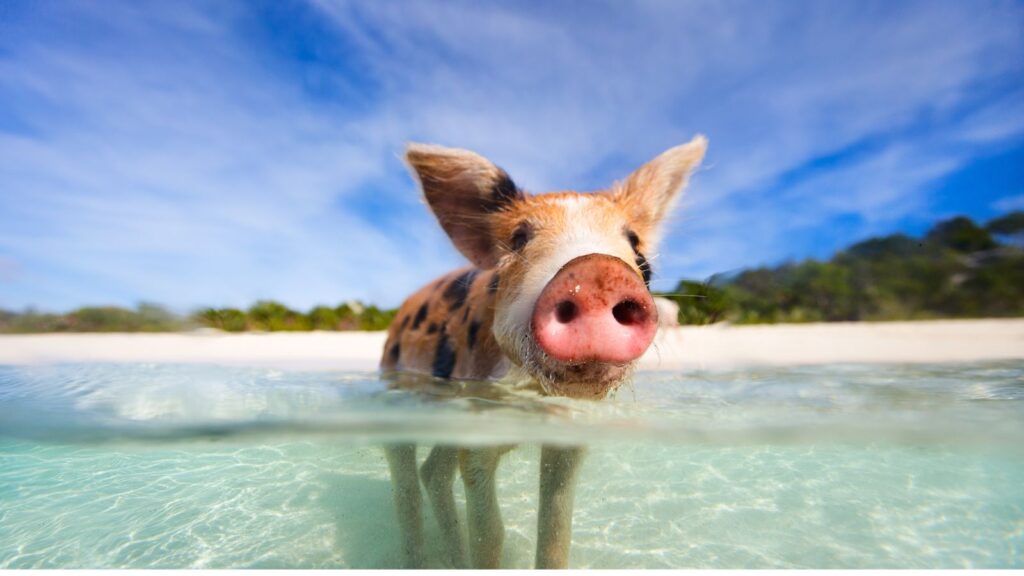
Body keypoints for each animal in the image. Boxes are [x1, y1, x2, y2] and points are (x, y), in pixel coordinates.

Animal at [380, 133, 708, 565]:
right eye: (519, 238)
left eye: (635, 244)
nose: (596, 271)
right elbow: (491, 534)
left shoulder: (569, 432)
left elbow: (555, 531)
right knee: (406, 485)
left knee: (433, 472)